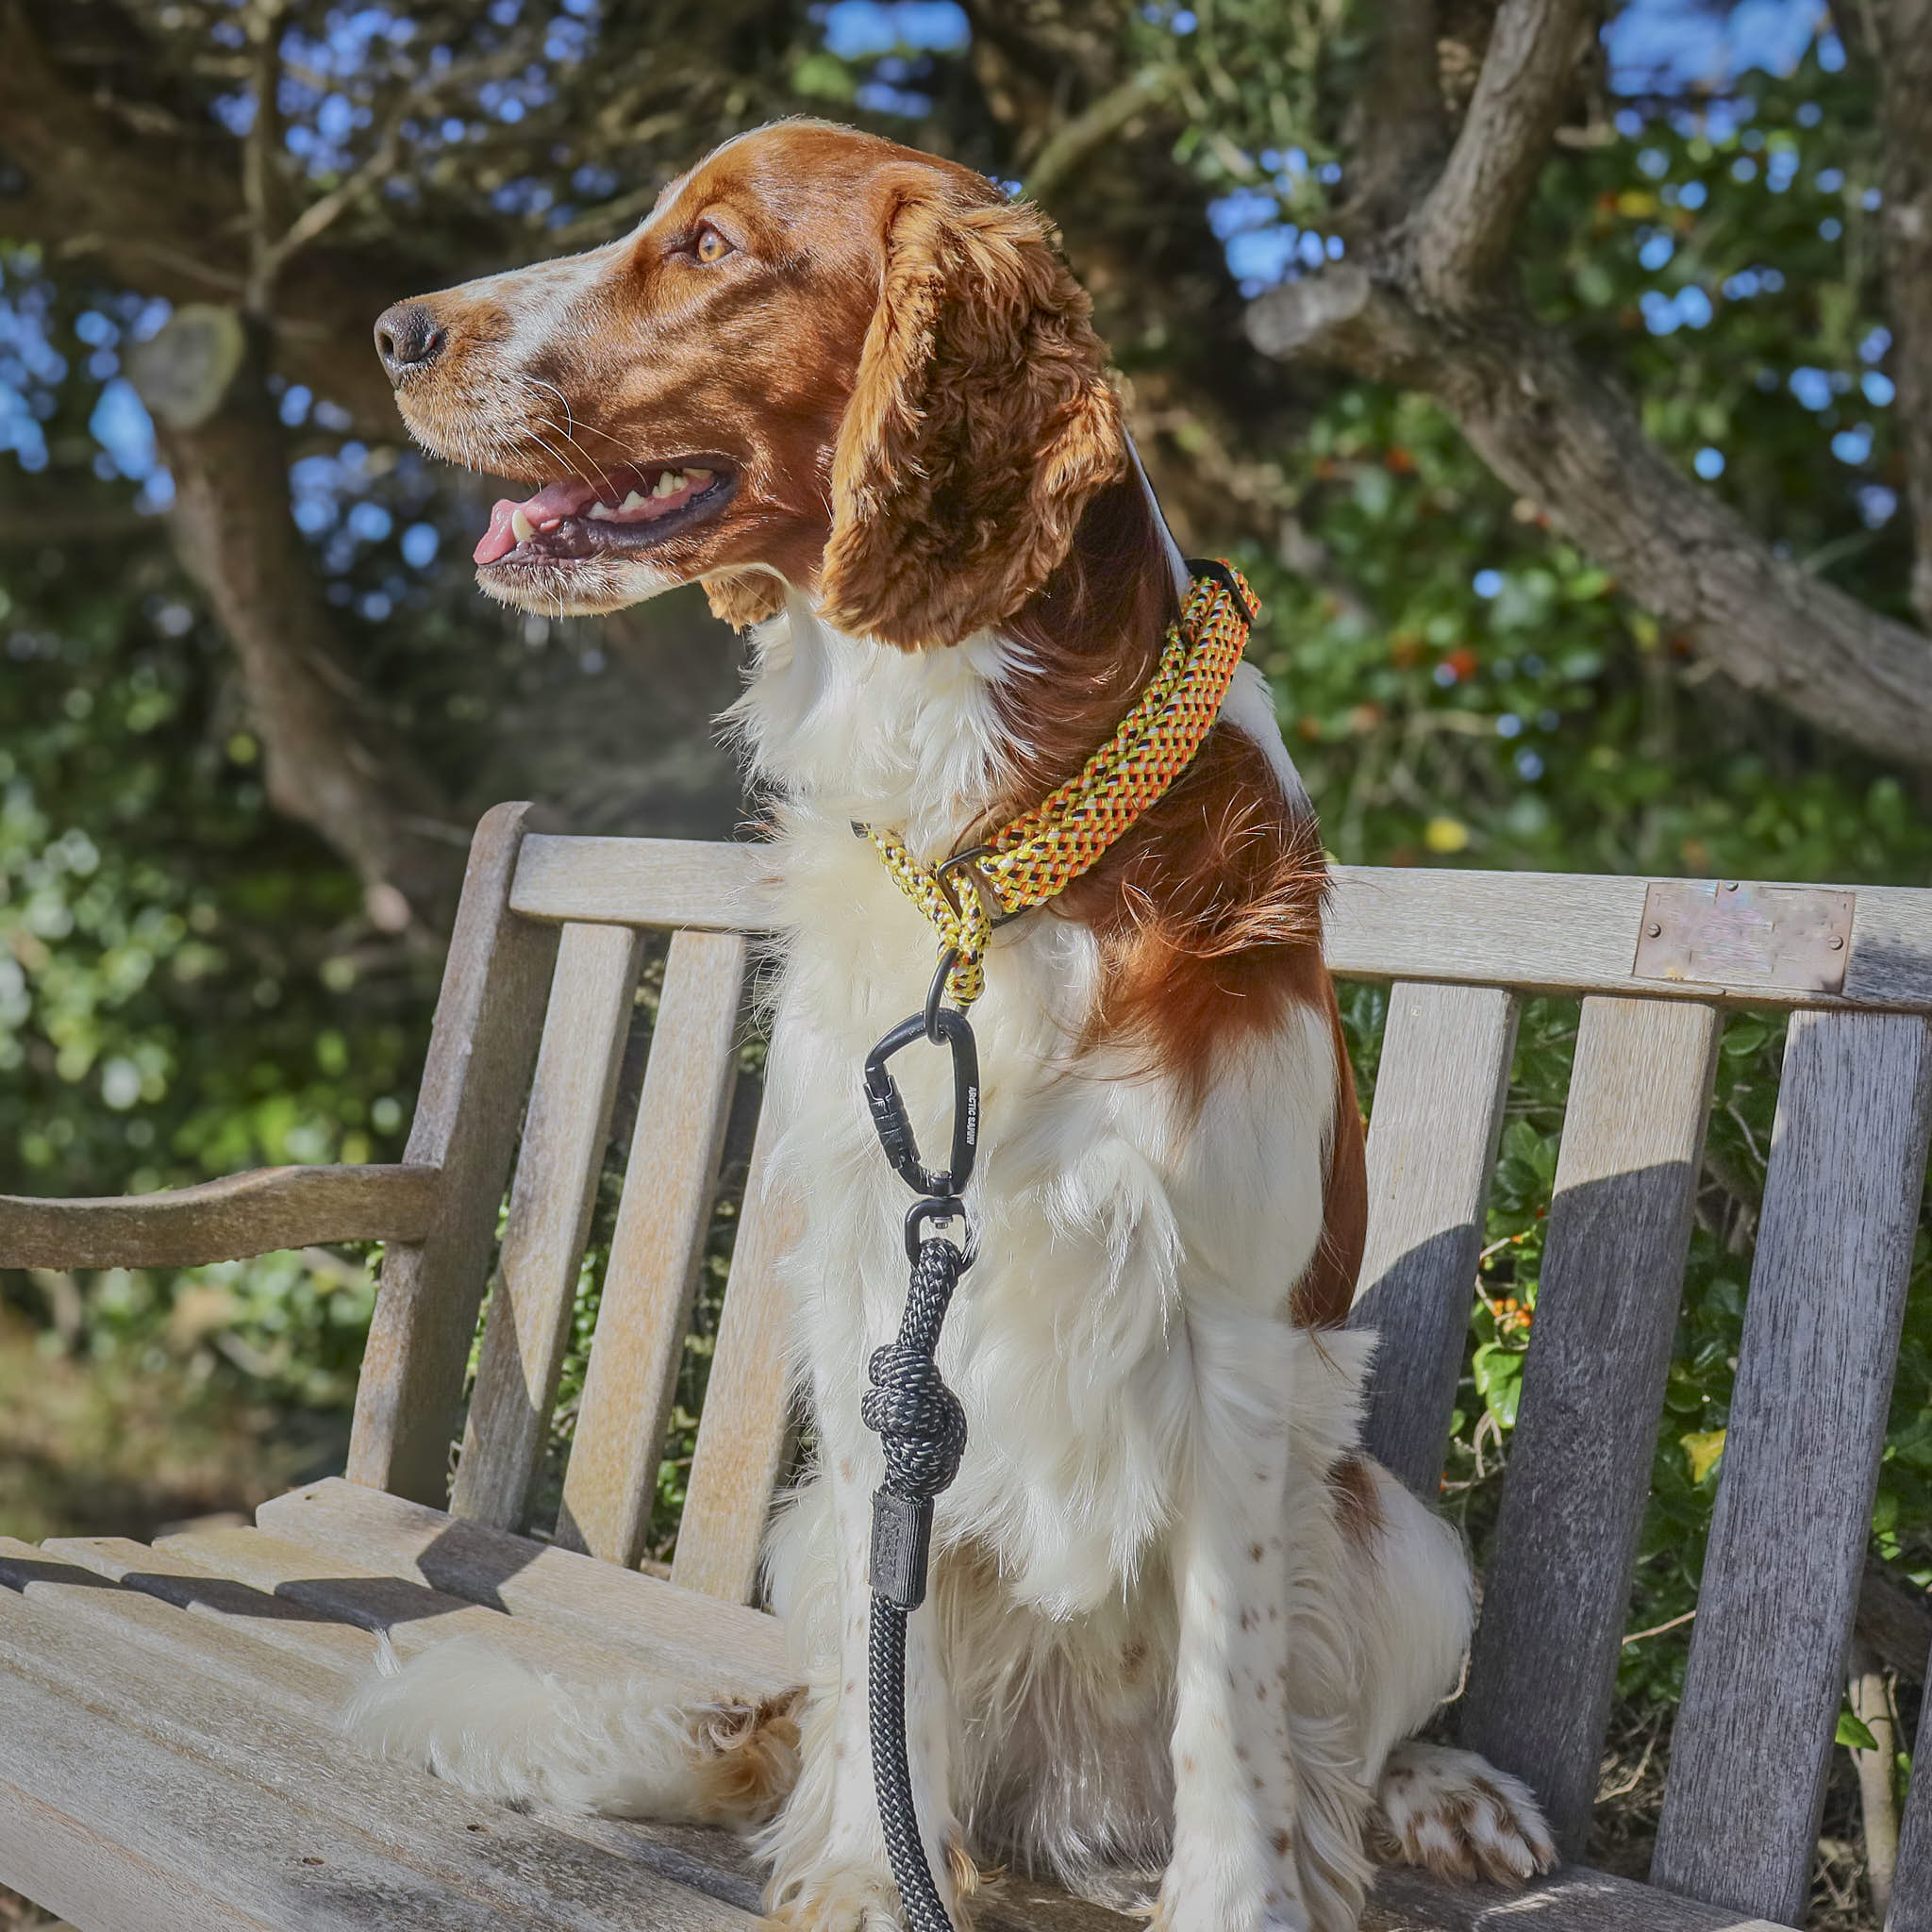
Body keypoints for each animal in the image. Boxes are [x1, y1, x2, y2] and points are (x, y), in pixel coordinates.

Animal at [347, 121, 1553, 1932]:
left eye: (709, 245)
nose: (397, 330)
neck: (994, 855)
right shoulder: (869, 1290)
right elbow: (885, 1657)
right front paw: (865, 1875)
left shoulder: (1230, 1331)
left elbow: (1236, 1704)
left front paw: (1242, 1899)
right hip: (803, 1522)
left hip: (1405, 1531)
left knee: (1335, 1733)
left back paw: (1434, 1794)